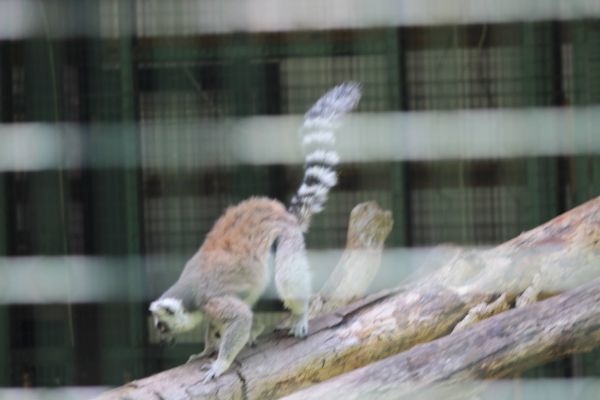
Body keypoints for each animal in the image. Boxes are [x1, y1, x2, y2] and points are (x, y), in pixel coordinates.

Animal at [149, 82, 361, 382]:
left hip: (286, 241)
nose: (164, 341)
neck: (191, 294)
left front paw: (220, 363)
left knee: (286, 278)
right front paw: (207, 349)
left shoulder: (211, 299)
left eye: (161, 325)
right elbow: (220, 325)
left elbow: (239, 317)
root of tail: (281, 213)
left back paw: (299, 316)